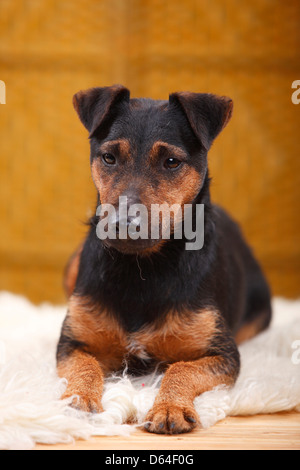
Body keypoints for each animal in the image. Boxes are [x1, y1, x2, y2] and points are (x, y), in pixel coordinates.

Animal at [56, 85, 272, 434]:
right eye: (109, 157)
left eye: (171, 162)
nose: (122, 223)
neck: (143, 267)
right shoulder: (73, 343)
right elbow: (85, 366)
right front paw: (77, 400)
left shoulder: (223, 354)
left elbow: (181, 368)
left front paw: (169, 408)